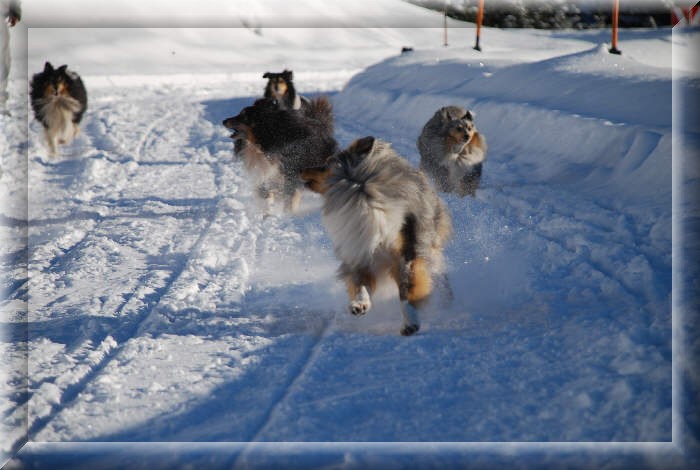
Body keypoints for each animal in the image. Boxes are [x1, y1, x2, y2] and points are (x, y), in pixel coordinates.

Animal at [300, 134, 454, 336]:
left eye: (325, 164)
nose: (301, 170)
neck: (360, 197)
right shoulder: (359, 251)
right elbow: (360, 283)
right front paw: (360, 304)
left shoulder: (407, 251)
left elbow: (407, 290)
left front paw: (410, 323)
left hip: (431, 244)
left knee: (438, 273)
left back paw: (446, 302)